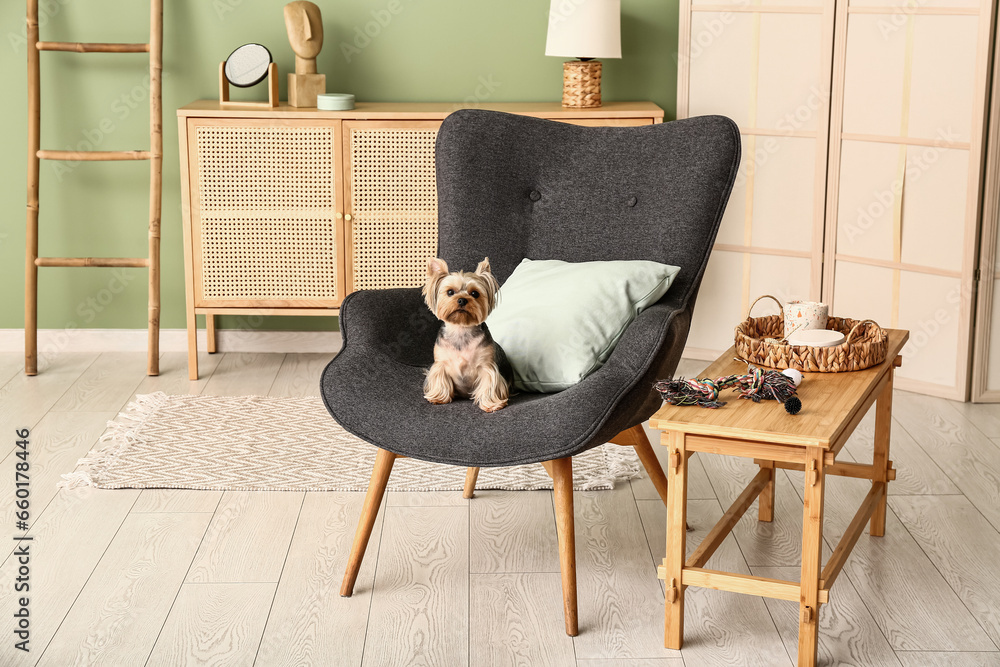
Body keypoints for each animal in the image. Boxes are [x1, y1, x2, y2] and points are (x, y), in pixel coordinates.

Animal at [424, 258, 516, 410]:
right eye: (450, 292)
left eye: (474, 293)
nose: (462, 299)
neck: (461, 329)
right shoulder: (440, 363)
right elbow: (440, 378)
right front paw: (438, 397)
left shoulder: (487, 365)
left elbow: (488, 383)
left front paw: (491, 404)